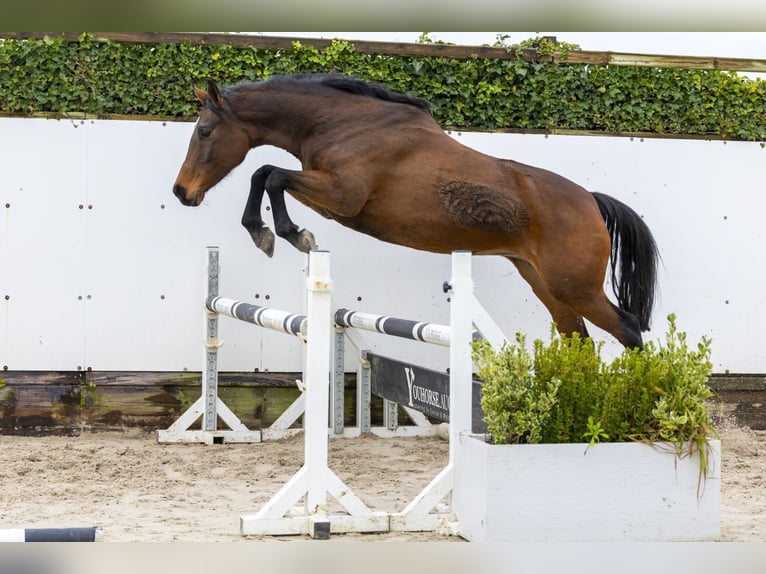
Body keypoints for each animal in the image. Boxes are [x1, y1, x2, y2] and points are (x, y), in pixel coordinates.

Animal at [173, 73, 659, 349]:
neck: (342, 123)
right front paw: (268, 233)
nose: (181, 192)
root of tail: (591, 201)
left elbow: (271, 175)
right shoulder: (330, 196)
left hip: (574, 286)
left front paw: (287, 235)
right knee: (579, 340)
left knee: (628, 328)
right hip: (547, 285)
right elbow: (265, 174)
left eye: (205, 131)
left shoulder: (341, 197)